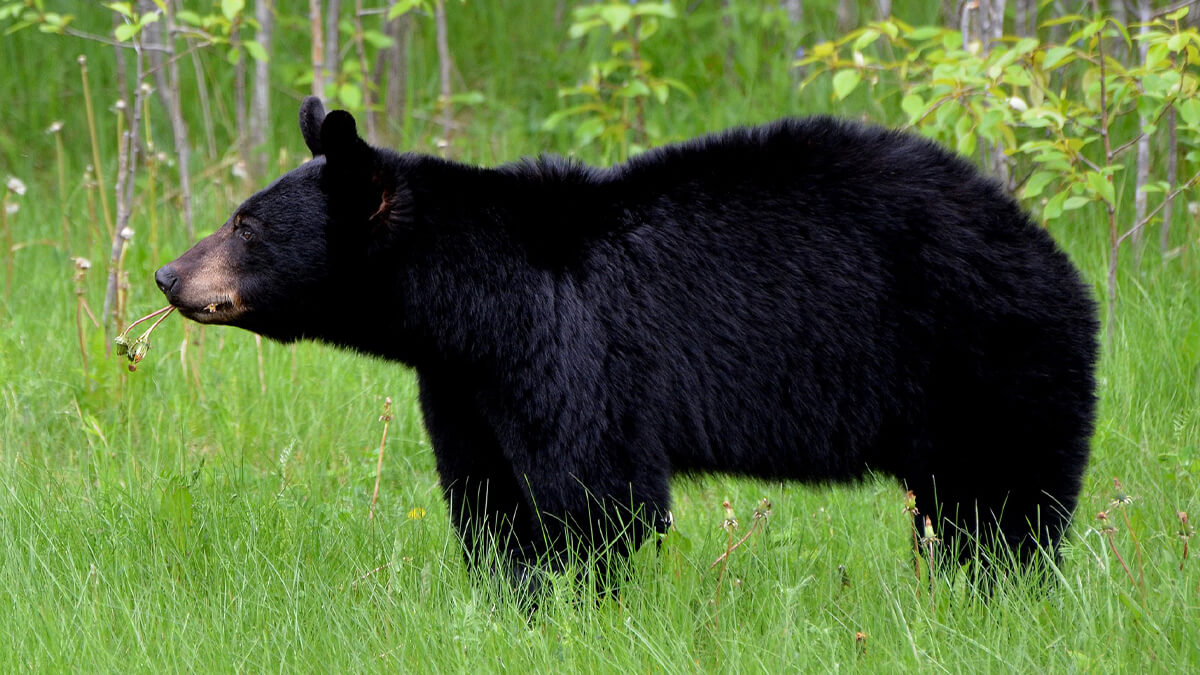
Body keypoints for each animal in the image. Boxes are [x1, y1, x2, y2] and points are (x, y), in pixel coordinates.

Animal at [157, 97, 1099, 586]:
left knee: (1002, 505)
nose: (168, 275)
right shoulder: (462, 378)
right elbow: (488, 492)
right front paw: (509, 595)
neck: (469, 301)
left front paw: (574, 599)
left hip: (986, 357)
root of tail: (1056, 258)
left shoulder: (573, 346)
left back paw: (992, 588)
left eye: (245, 224)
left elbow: (596, 494)